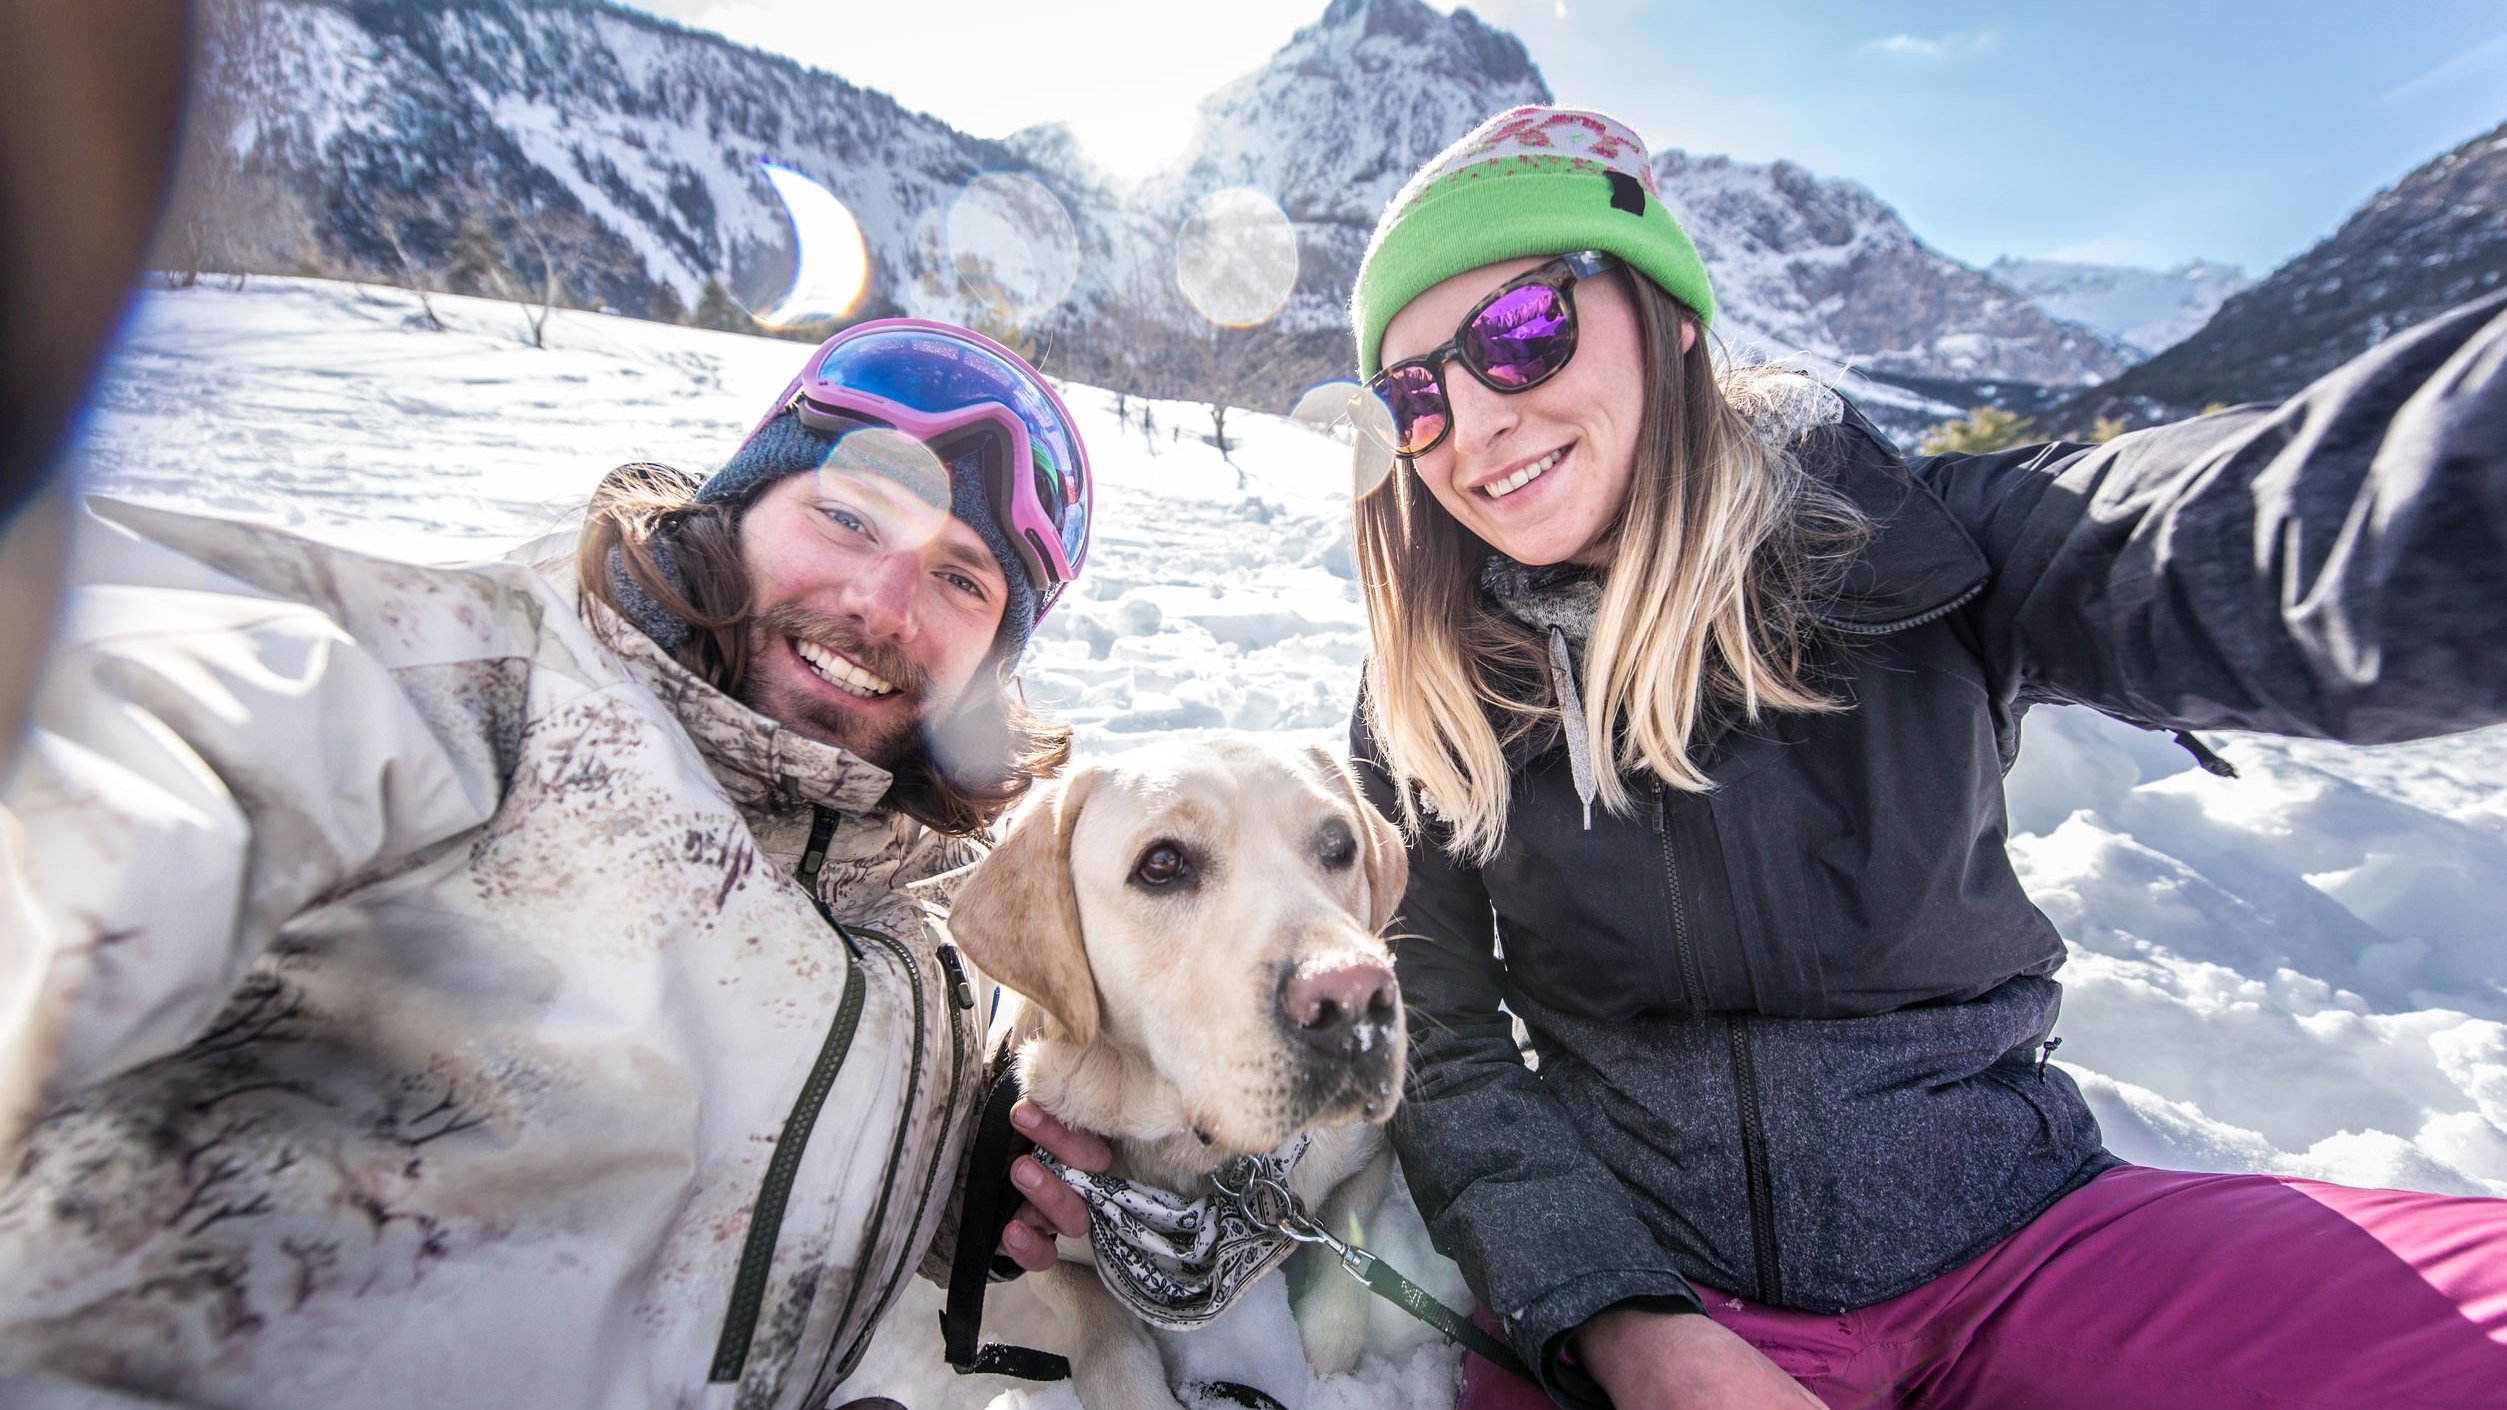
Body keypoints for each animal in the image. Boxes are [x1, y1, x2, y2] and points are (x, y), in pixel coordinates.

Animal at [942, 737, 1413, 1404]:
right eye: (1162, 863)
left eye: (1339, 844)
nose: (1353, 998)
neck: (1201, 1163)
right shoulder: (1027, 1238)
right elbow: (1104, 1336)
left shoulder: (1370, 1155)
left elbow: (1345, 1266)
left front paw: (1324, 1371)